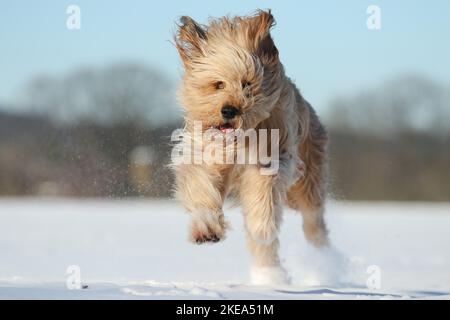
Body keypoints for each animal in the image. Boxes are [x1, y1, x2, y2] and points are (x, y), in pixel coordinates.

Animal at [171, 9, 328, 284]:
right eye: (218, 84)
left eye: (247, 83)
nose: (229, 110)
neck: (240, 139)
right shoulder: (207, 155)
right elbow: (201, 185)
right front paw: (206, 227)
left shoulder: (272, 157)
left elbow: (262, 196)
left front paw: (261, 226)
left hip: (309, 175)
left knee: (313, 220)